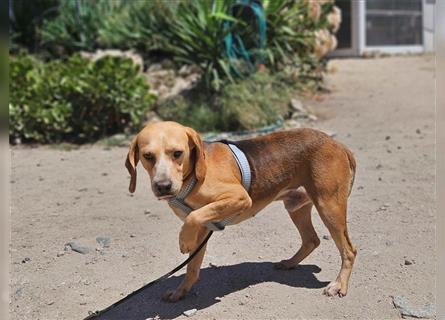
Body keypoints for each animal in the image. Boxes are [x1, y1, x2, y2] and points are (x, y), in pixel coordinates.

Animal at [125, 121, 358, 302]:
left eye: (177, 153)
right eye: (147, 156)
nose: (163, 186)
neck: (191, 179)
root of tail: (338, 145)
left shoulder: (239, 198)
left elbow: (193, 216)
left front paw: (184, 241)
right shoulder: (203, 230)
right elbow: (192, 267)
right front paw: (180, 291)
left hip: (329, 207)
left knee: (349, 250)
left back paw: (339, 285)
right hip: (297, 208)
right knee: (311, 240)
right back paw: (290, 263)